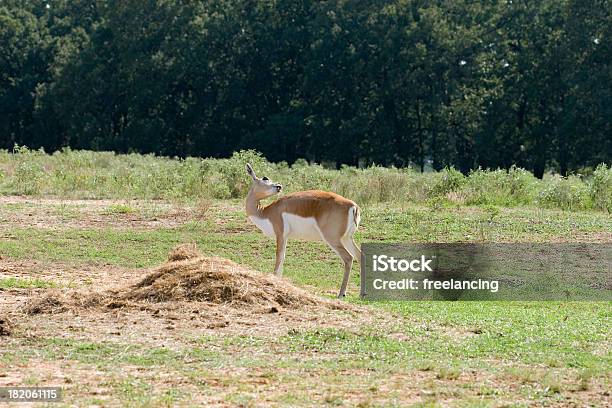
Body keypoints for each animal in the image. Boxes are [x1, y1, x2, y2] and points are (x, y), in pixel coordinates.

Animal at [244, 164, 360, 298]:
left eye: (265, 178)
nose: (279, 186)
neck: (266, 212)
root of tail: (353, 206)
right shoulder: (286, 237)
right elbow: (283, 257)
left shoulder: (280, 234)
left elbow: (279, 256)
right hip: (346, 238)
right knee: (359, 255)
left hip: (333, 239)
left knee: (348, 258)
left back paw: (341, 294)